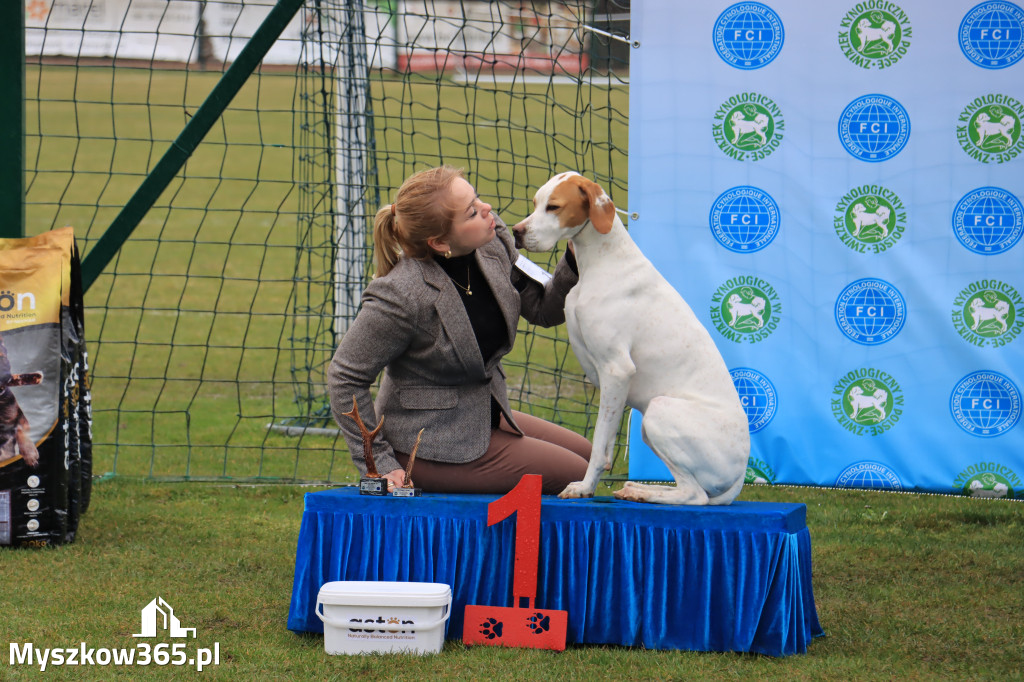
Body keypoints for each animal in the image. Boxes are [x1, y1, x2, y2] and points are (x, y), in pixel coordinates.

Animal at [516, 173, 749, 501]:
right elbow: (604, 442)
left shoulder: (616, 370)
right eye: (536, 203)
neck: (602, 261)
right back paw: (639, 487)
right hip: (649, 426)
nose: (516, 232)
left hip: (658, 411)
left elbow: (598, 445)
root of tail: (741, 475)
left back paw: (643, 493)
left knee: (694, 495)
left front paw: (584, 487)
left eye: (554, 207)